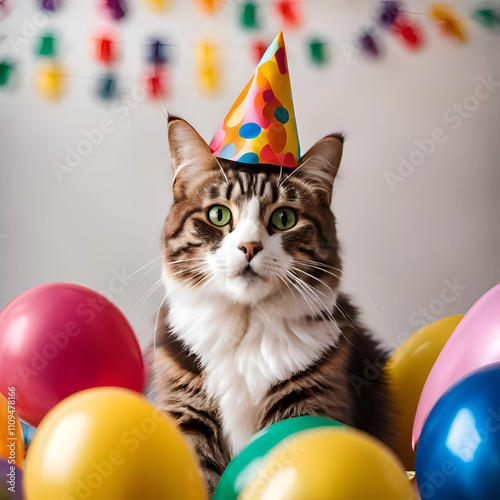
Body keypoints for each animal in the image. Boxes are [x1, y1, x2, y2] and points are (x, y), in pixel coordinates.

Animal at [148, 115, 394, 494]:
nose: (249, 247)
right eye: (219, 215)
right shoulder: (187, 412)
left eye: (284, 219)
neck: (246, 328)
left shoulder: (310, 403)